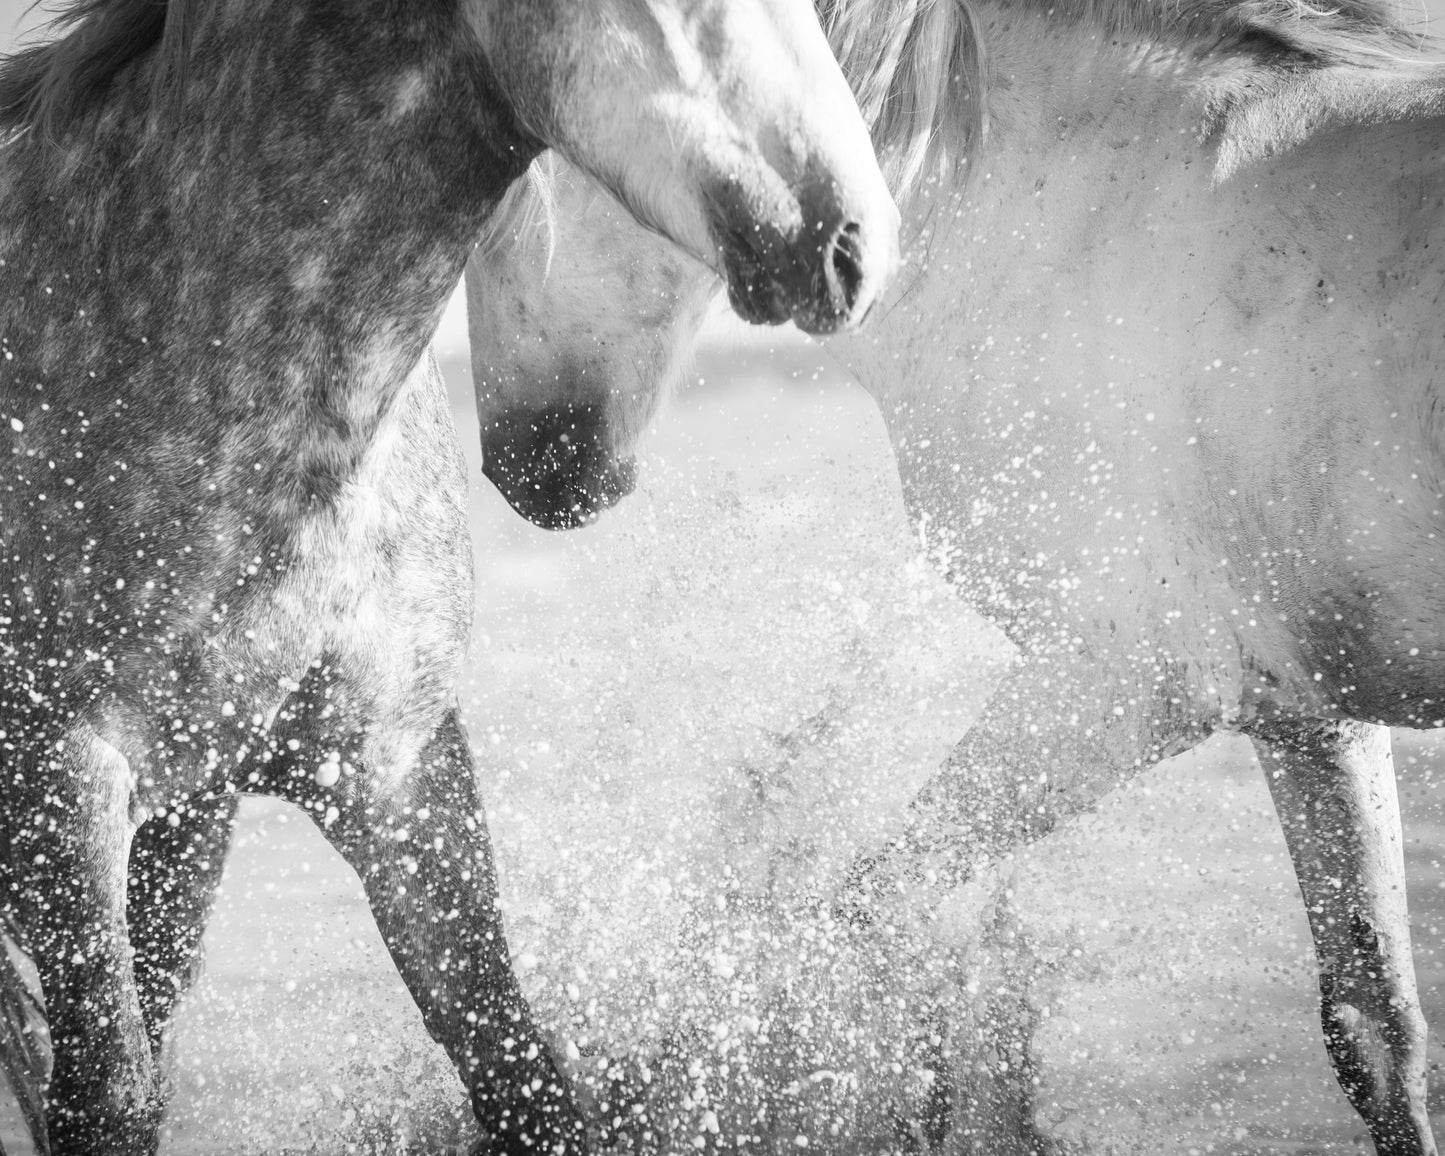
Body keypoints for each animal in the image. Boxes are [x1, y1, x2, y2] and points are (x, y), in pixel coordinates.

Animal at [463, 0, 1445, 1151]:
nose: (521, 474)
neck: (1077, 225)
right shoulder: (1305, 712)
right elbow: (1372, 1027)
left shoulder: (1118, 690)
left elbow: (851, 921)